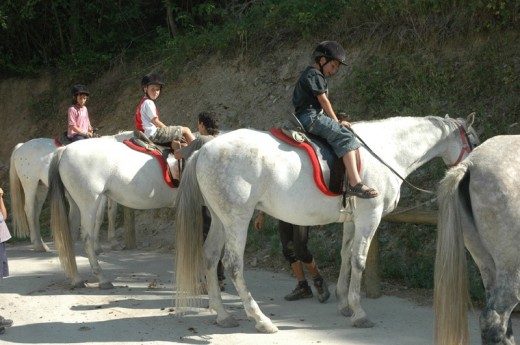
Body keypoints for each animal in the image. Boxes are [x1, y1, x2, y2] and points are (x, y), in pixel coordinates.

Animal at [48, 137, 179, 288]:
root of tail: (64, 150)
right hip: (89, 204)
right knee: (87, 237)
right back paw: (102, 278)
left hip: (75, 205)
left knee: (70, 237)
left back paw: (77, 279)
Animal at [174, 114, 480, 332]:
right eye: (475, 143)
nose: (470, 174)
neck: (386, 150)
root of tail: (205, 150)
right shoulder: (370, 216)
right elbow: (359, 259)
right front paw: (359, 312)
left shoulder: (352, 219)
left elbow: (346, 254)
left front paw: (344, 303)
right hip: (237, 219)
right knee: (233, 264)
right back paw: (260, 319)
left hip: (219, 219)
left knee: (210, 256)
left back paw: (223, 314)